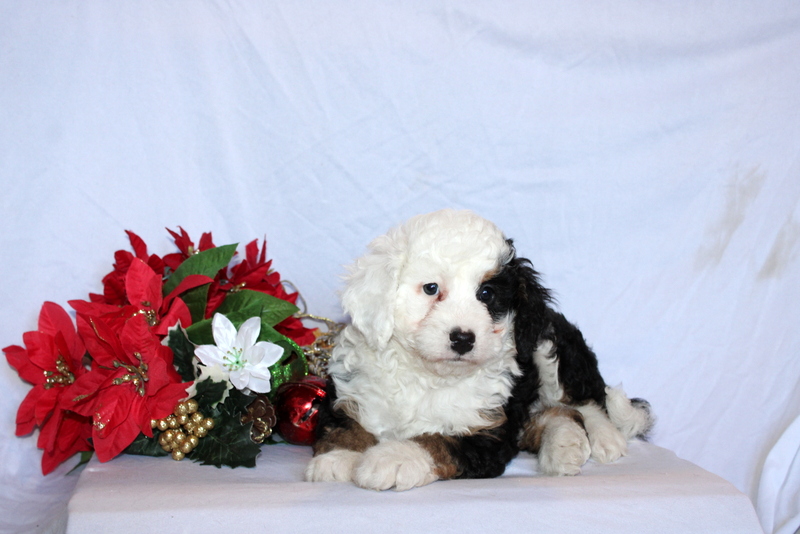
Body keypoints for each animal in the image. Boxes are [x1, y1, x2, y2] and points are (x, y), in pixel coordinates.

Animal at [304, 210, 648, 494]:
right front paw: (339, 456)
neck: (428, 375)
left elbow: (439, 441)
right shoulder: (350, 389)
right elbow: (344, 423)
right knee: (550, 416)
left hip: (548, 345)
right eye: (431, 288)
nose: (462, 339)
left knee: (582, 402)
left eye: (486, 294)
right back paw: (565, 447)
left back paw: (601, 438)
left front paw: (393, 458)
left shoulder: (488, 431)